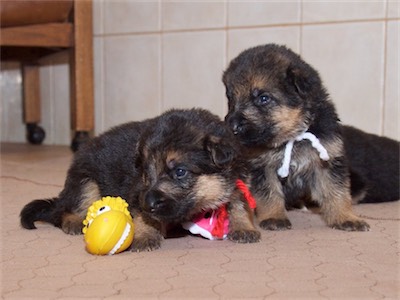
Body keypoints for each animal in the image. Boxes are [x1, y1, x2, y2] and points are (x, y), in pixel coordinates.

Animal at [20, 108, 260, 251]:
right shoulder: (137, 192)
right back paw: (74, 221)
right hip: (86, 182)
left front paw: (244, 227)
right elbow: (143, 215)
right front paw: (144, 235)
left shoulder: (238, 179)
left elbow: (239, 203)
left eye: (180, 172)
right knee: (65, 210)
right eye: (146, 172)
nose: (149, 202)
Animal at [222, 43, 382, 231]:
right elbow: (269, 195)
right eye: (231, 99)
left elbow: (337, 192)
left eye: (263, 98)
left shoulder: (328, 160)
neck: (294, 136)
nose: (232, 126)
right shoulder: (261, 168)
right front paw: (274, 217)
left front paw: (345, 217)